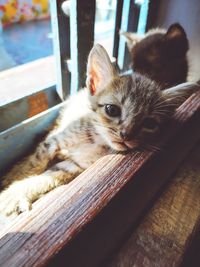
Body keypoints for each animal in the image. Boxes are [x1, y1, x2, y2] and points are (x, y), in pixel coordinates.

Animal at [0, 43, 198, 216]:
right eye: (112, 110)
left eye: (149, 124)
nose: (126, 134)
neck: (95, 140)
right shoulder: (54, 141)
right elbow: (33, 163)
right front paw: (13, 183)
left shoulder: (75, 166)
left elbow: (46, 177)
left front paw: (17, 191)